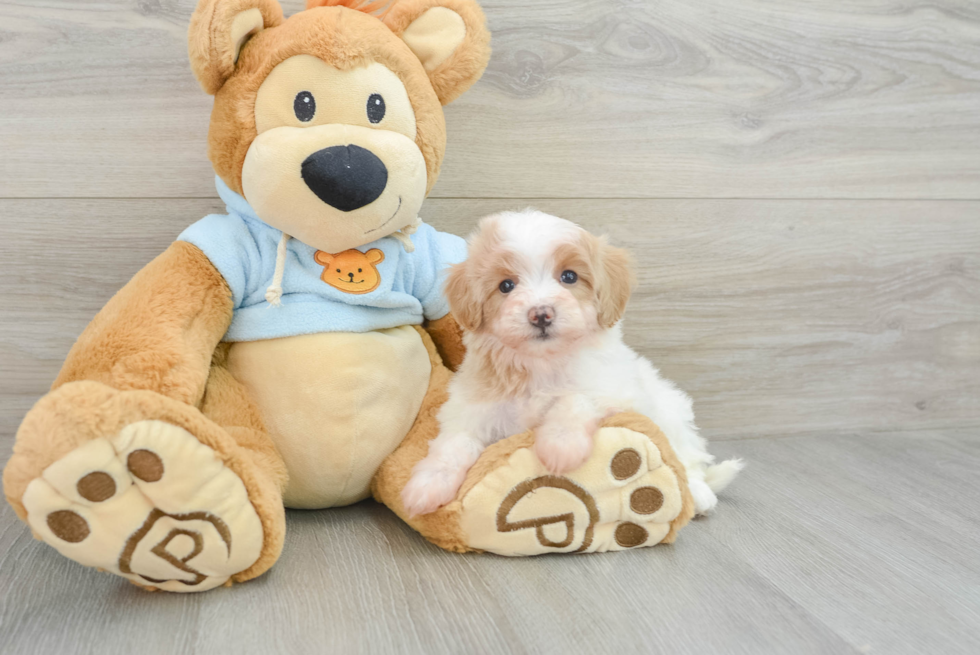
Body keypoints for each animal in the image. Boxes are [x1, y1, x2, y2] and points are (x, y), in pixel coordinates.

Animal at [400, 210, 744, 516]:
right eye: (506, 286)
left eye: (569, 277)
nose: (541, 314)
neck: (542, 364)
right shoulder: (471, 408)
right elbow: (453, 444)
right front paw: (427, 486)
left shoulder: (611, 387)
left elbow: (574, 398)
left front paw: (560, 445)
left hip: (669, 411)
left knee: (685, 457)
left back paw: (699, 494)